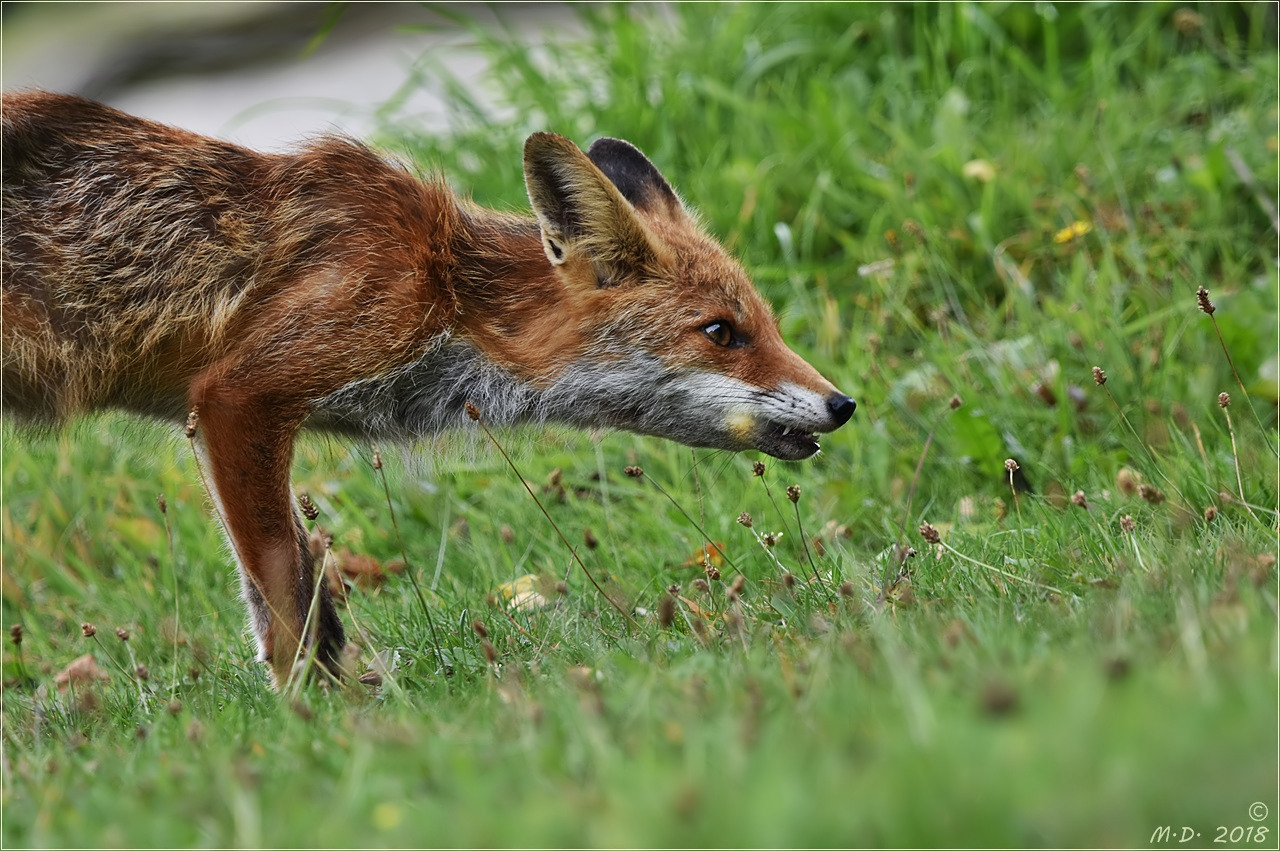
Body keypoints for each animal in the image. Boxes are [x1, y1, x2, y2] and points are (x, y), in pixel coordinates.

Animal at [5, 91, 860, 685]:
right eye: (721, 332)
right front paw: (310, 720)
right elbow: (280, 594)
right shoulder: (237, 394)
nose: (843, 403)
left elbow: (307, 588)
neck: (446, 289)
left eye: (766, 323)